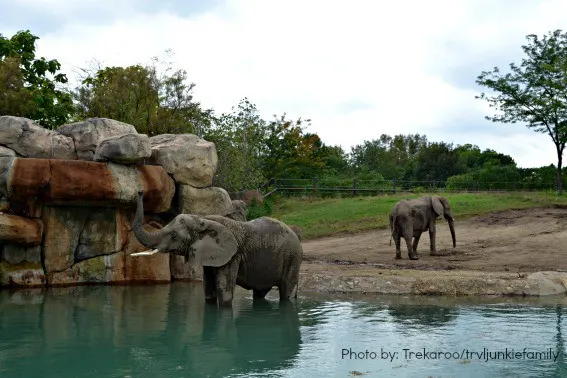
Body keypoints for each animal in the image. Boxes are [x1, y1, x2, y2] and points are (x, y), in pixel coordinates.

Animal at [133, 192, 304, 308]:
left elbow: (224, 291)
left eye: (174, 236)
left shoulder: (233, 255)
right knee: (260, 292)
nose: (140, 192)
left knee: (286, 291)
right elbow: (208, 289)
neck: (202, 219)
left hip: (293, 258)